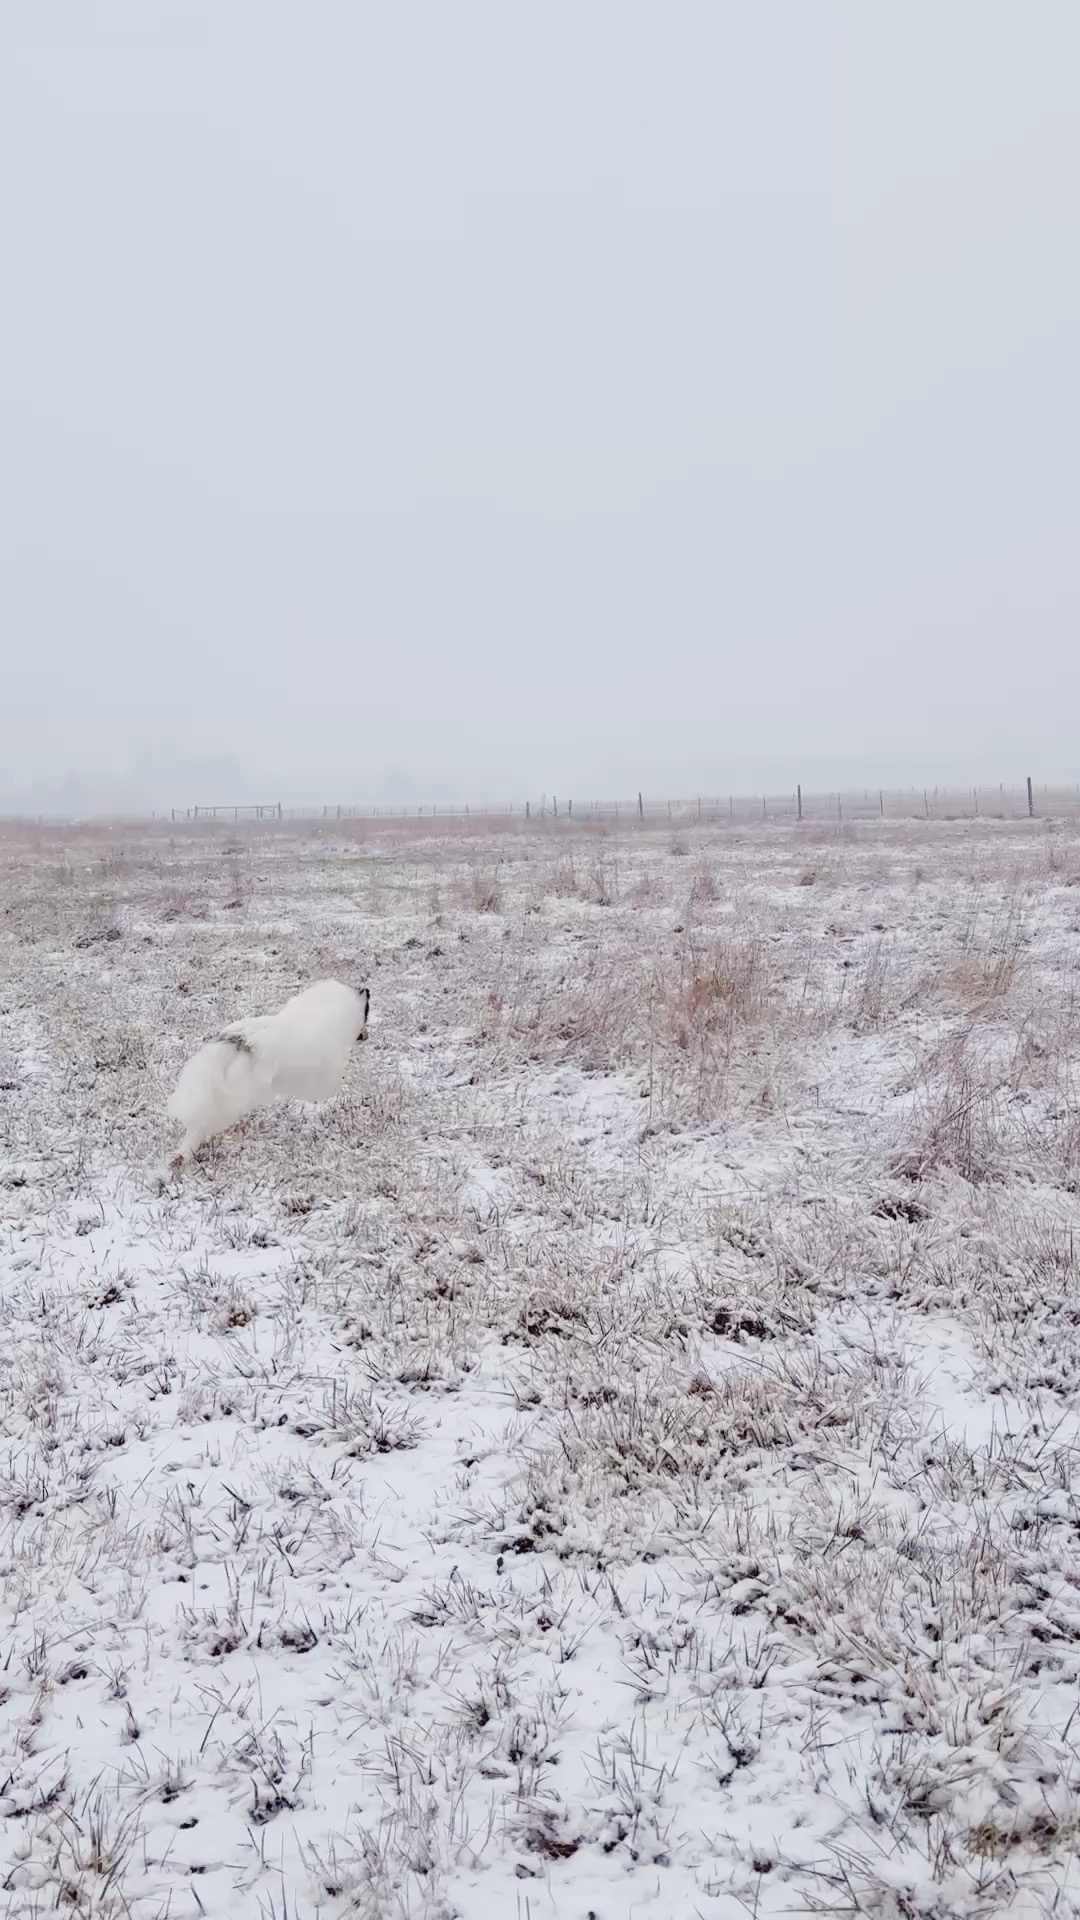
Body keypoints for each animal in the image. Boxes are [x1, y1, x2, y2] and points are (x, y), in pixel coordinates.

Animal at [165, 975, 368, 1167]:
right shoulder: (325, 1075)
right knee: (201, 1127)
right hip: (229, 1103)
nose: (366, 990)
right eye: (366, 1011)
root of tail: (236, 1043)